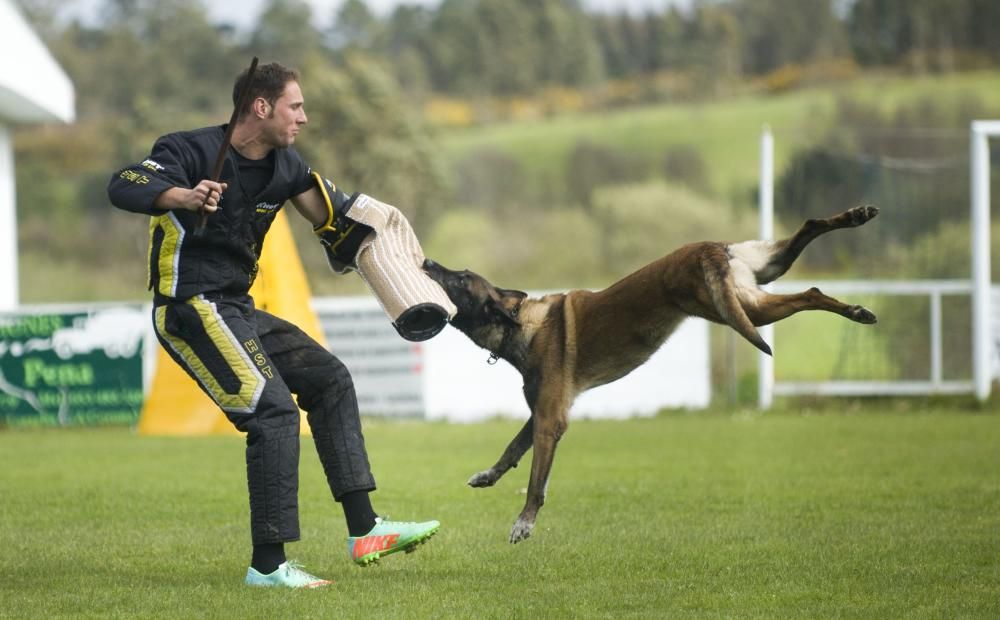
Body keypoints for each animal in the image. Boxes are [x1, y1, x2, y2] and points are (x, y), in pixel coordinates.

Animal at [422, 205, 876, 544]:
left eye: (460, 279)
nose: (425, 261)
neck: (520, 323)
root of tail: (705, 249)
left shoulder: (551, 420)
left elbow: (536, 480)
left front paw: (524, 522)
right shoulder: (541, 412)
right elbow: (511, 450)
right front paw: (487, 476)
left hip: (742, 307)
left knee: (808, 292)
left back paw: (856, 303)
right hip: (760, 280)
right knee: (808, 249)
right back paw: (857, 245)